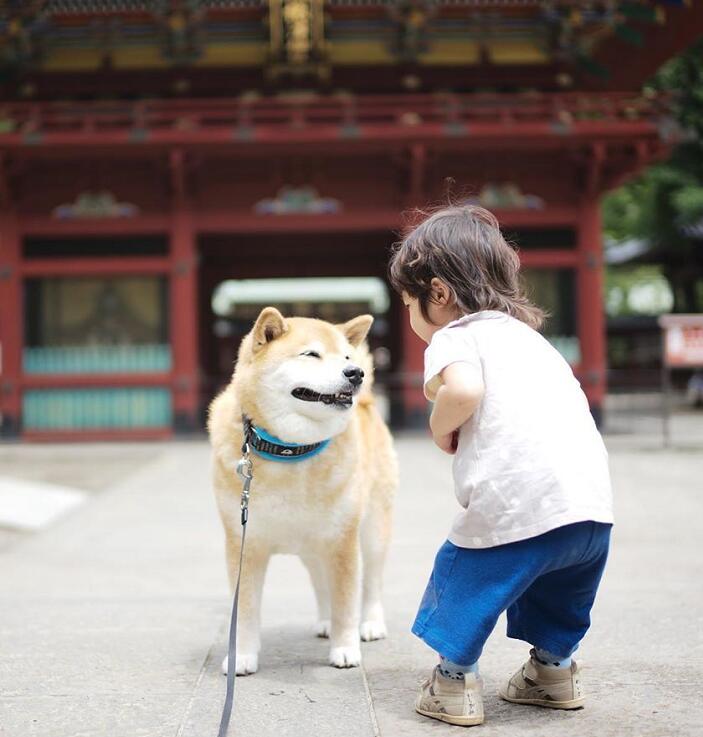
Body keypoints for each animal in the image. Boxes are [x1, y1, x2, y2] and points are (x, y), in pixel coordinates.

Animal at [208, 304, 396, 672]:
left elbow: (346, 600)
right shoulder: (244, 542)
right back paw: (324, 622)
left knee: (372, 583)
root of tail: (370, 403)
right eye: (311, 354)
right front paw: (242, 656)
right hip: (312, 546)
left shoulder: (343, 541)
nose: (355, 373)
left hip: (371, 530)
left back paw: (370, 624)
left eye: (346, 356)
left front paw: (345, 648)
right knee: (320, 582)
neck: (290, 451)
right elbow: (246, 611)